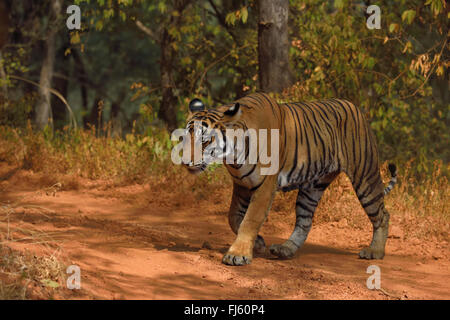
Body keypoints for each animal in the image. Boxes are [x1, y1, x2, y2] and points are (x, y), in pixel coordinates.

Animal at [182, 92, 398, 264]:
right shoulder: (241, 185)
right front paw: (258, 243)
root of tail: (355, 106)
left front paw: (238, 254)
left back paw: (375, 251)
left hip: (365, 176)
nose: (185, 162)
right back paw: (285, 249)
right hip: (312, 188)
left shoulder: (264, 187)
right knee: (305, 221)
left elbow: (250, 219)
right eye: (184, 138)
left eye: (205, 141)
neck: (233, 157)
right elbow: (233, 217)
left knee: (382, 214)